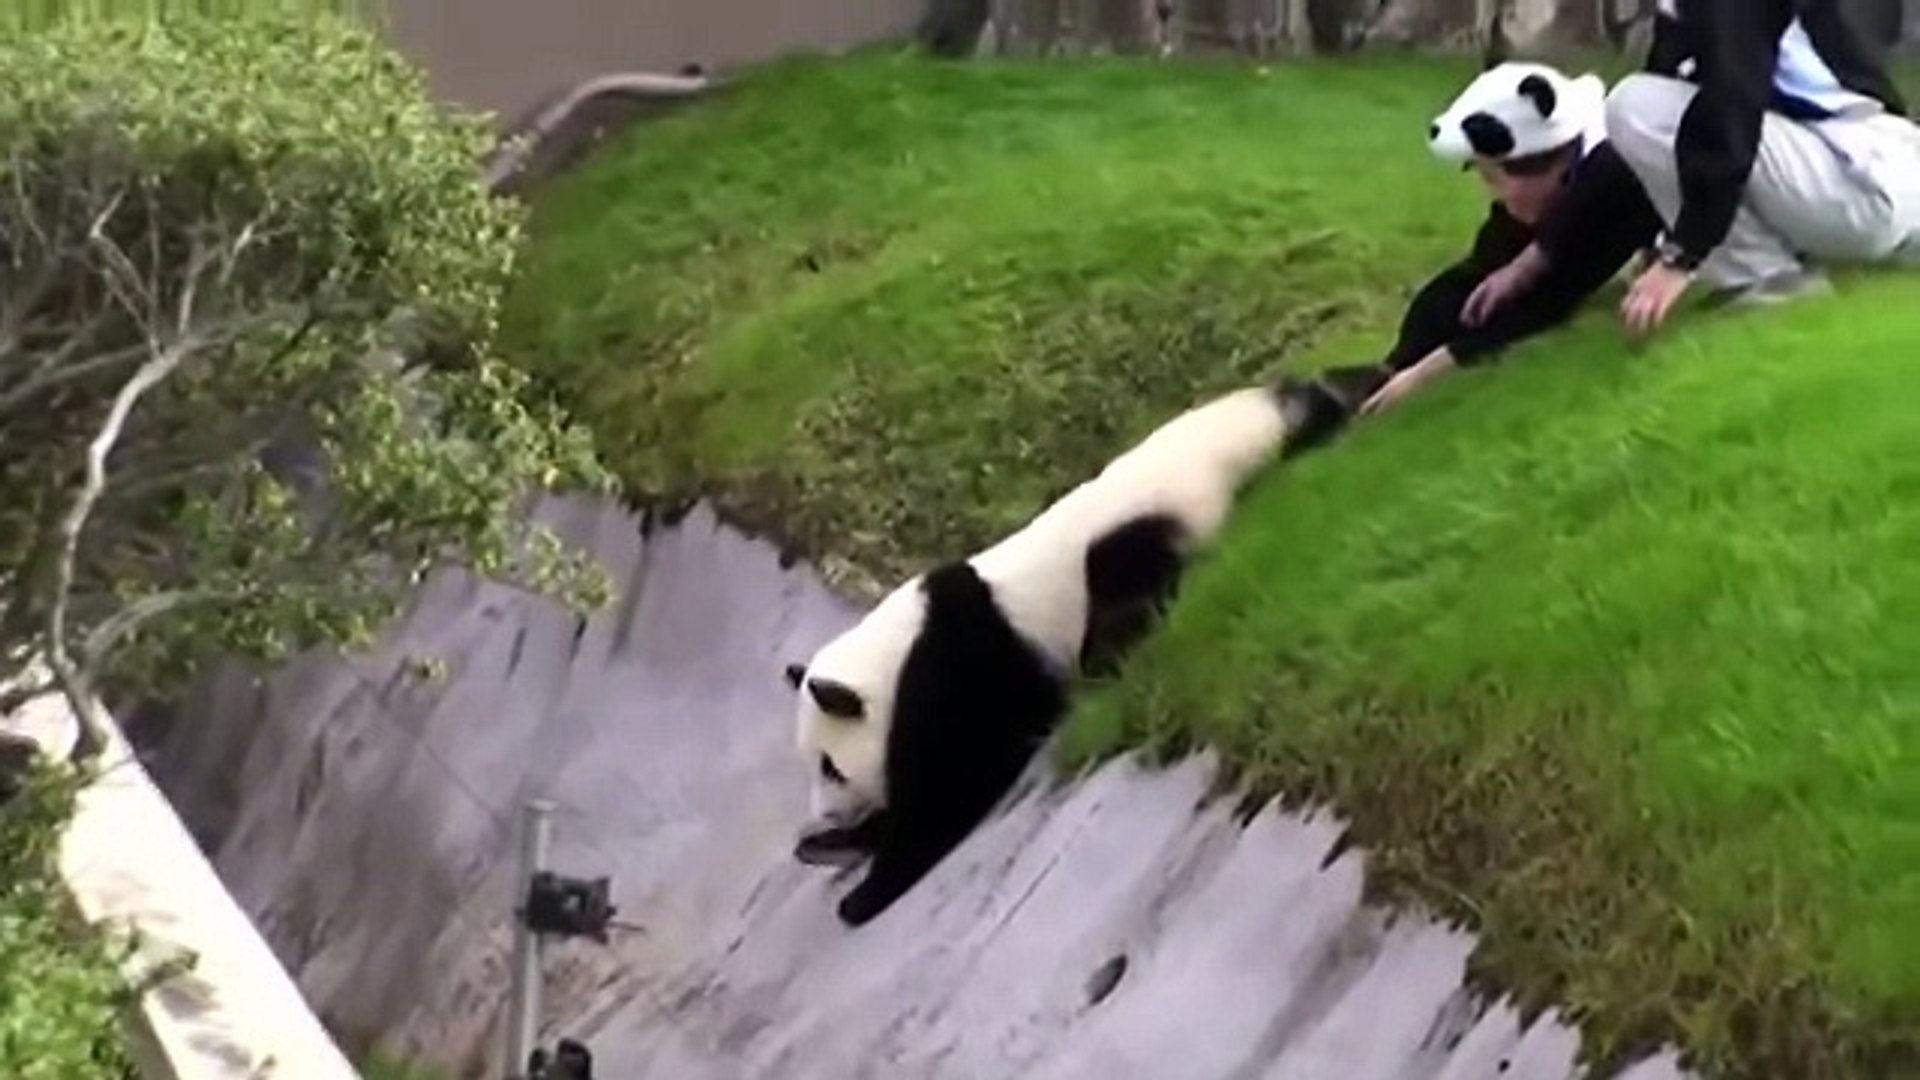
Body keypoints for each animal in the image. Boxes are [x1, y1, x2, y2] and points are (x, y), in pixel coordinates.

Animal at [781, 377, 1319, 927]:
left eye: (831, 766)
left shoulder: (954, 667)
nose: (825, 812)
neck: (891, 653)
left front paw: (865, 888)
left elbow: (955, 782)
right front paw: (830, 844)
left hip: (1133, 534)